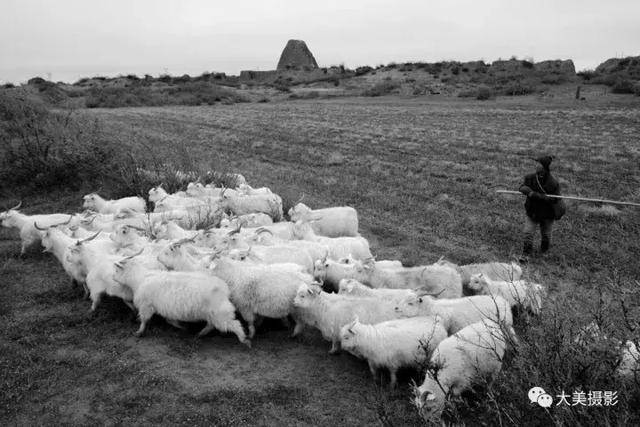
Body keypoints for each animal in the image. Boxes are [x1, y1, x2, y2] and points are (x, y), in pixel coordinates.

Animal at [112, 254, 248, 348]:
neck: (139, 278)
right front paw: (182, 326)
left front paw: (139, 332)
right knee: (211, 325)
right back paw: (200, 334)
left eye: (117, 270)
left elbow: (144, 320)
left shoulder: (146, 306)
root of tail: (224, 288)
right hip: (213, 313)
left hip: (220, 313)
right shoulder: (166, 308)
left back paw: (244, 340)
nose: (113, 278)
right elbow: (170, 320)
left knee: (235, 325)